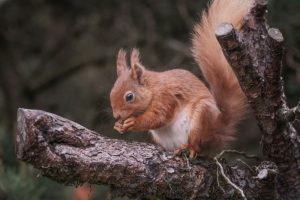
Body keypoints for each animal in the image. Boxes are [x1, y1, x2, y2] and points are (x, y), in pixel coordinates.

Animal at [109, 0, 252, 157]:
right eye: (111, 93)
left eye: (129, 96)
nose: (116, 116)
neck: (152, 89)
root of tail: (217, 130)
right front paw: (117, 126)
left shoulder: (166, 97)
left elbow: (158, 117)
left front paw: (132, 122)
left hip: (201, 118)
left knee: (198, 146)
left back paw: (189, 148)